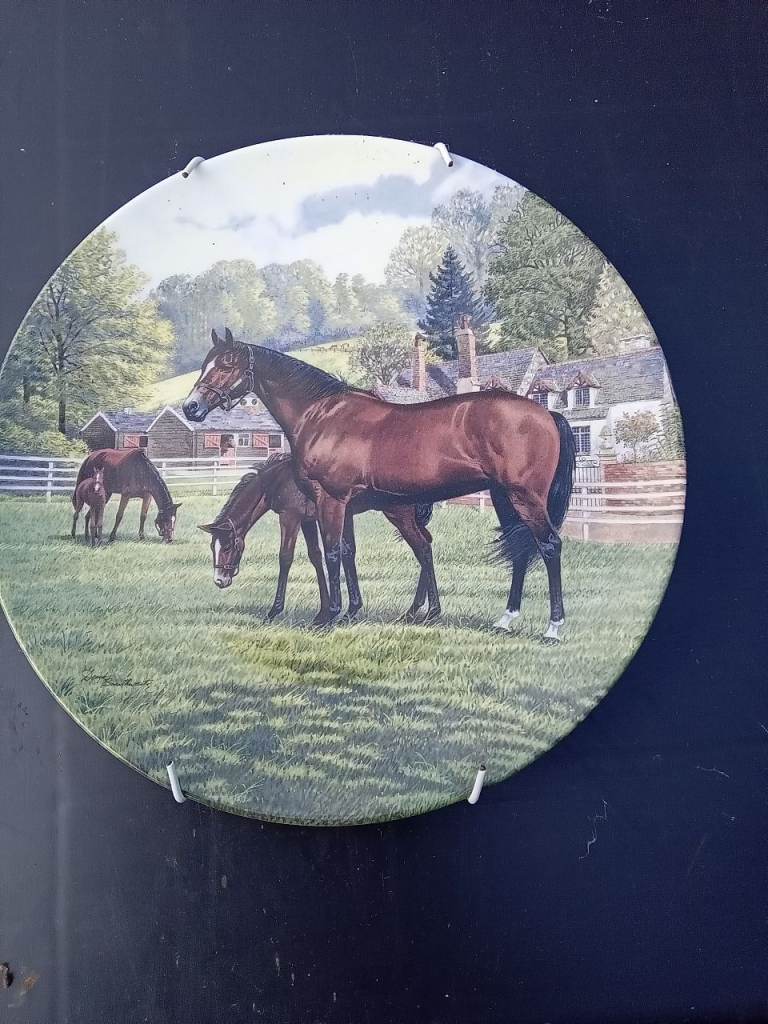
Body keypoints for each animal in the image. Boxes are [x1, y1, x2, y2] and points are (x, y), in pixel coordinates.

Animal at [200, 453, 438, 624]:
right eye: (213, 547)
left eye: (227, 546)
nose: (220, 580)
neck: (277, 480)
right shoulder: (308, 520)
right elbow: (316, 556)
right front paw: (325, 610)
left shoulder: (290, 517)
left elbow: (285, 558)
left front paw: (274, 611)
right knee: (427, 544)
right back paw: (416, 610)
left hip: (400, 516)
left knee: (422, 548)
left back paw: (421, 611)